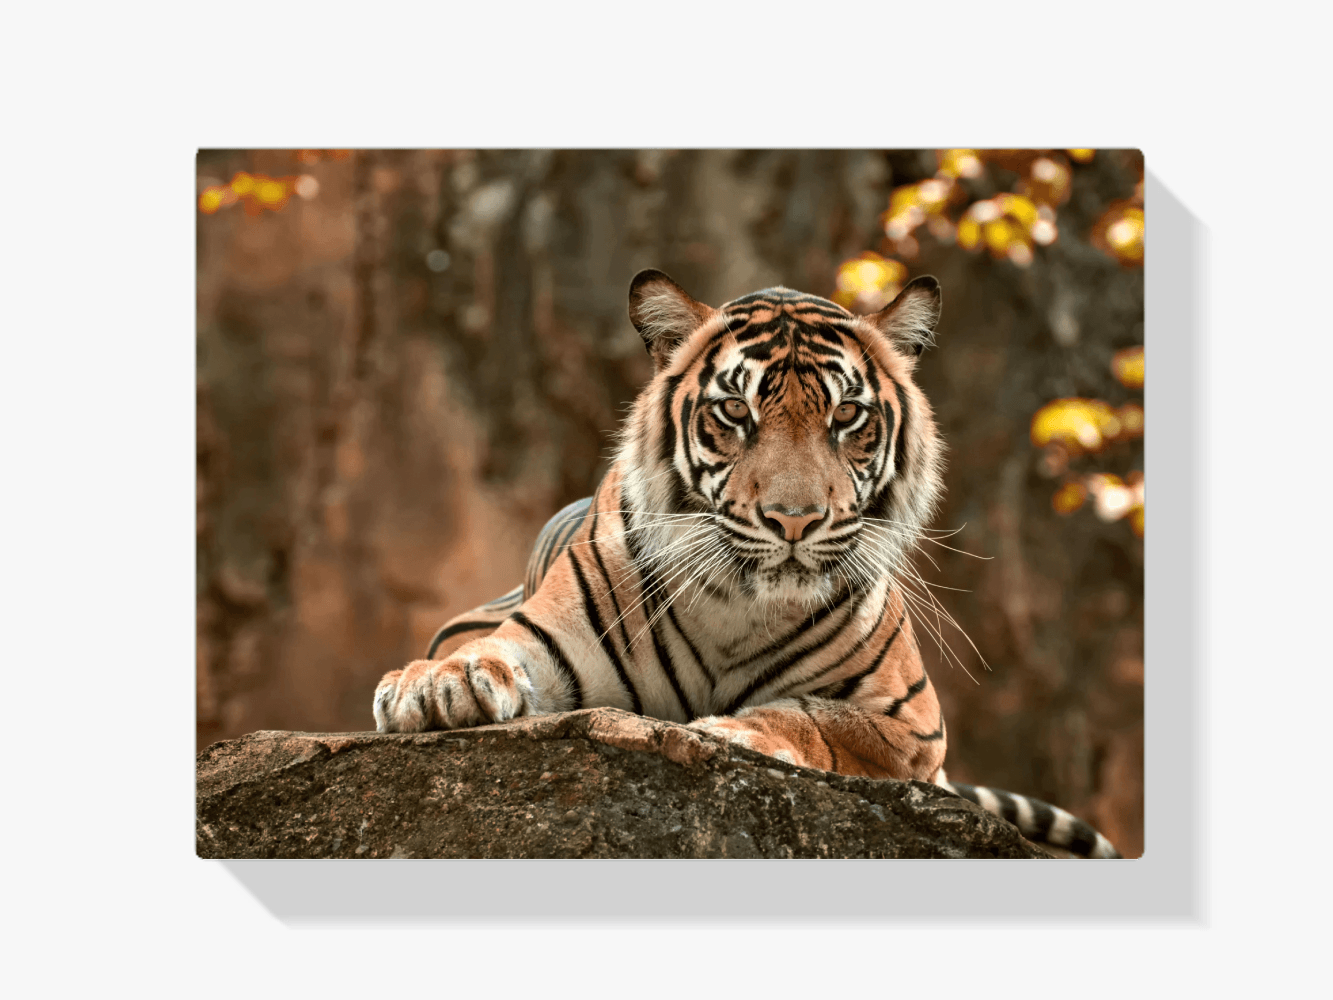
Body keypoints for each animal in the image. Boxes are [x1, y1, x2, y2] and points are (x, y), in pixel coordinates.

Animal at [373, 268, 1122, 860]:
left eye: (847, 416)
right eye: (735, 411)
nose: (794, 519)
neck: (737, 605)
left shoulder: (910, 724)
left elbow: (813, 717)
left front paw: (730, 731)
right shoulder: (537, 635)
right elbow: (484, 655)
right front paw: (436, 686)